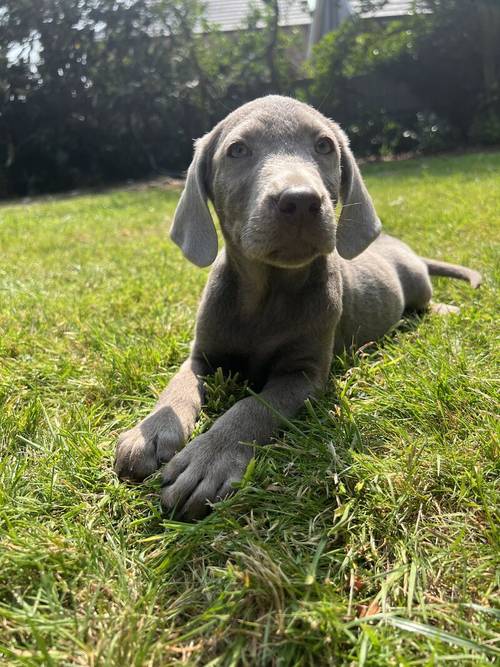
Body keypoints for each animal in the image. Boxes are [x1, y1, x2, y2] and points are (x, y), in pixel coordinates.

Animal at [113, 95, 480, 520]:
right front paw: (152, 431)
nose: (301, 200)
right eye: (237, 150)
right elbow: (177, 387)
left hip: (417, 282)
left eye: (324, 146)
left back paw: (443, 311)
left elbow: (254, 407)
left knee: (424, 301)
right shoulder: (202, 356)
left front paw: (209, 458)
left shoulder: (303, 375)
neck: (266, 294)